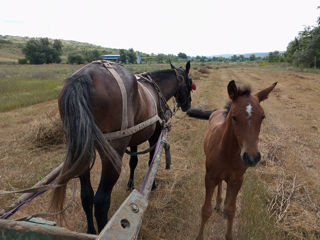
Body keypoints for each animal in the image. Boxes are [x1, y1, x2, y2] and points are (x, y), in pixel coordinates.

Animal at [51, 60, 194, 234]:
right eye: (189, 83)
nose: (188, 105)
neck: (156, 88)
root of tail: (84, 76)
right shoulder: (156, 133)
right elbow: (152, 161)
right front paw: (152, 184)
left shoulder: (134, 139)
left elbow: (133, 162)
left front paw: (130, 184)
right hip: (113, 155)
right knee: (101, 201)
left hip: (83, 153)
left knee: (86, 196)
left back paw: (91, 230)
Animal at [189, 79, 276, 239]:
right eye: (234, 117)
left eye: (262, 117)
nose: (252, 157)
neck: (228, 154)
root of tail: (219, 111)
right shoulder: (209, 177)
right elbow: (205, 210)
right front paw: (199, 236)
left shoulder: (237, 180)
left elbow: (231, 210)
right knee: (219, 184)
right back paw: (218, 203)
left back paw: (220, 205)